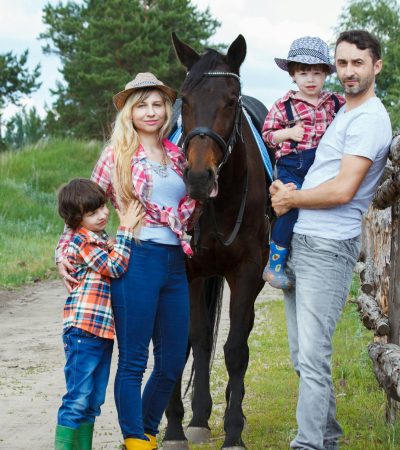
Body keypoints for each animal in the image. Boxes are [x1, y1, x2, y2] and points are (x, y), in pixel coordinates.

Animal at [162, 33, 276, 448]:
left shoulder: (247, 271)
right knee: (201, 341)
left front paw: (234, 431)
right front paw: (176, 428)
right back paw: (198, 417)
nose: (197, 176)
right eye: (185, 99)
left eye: (231, 100)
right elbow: (187, 341)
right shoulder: (186, 271)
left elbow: (236, 349)